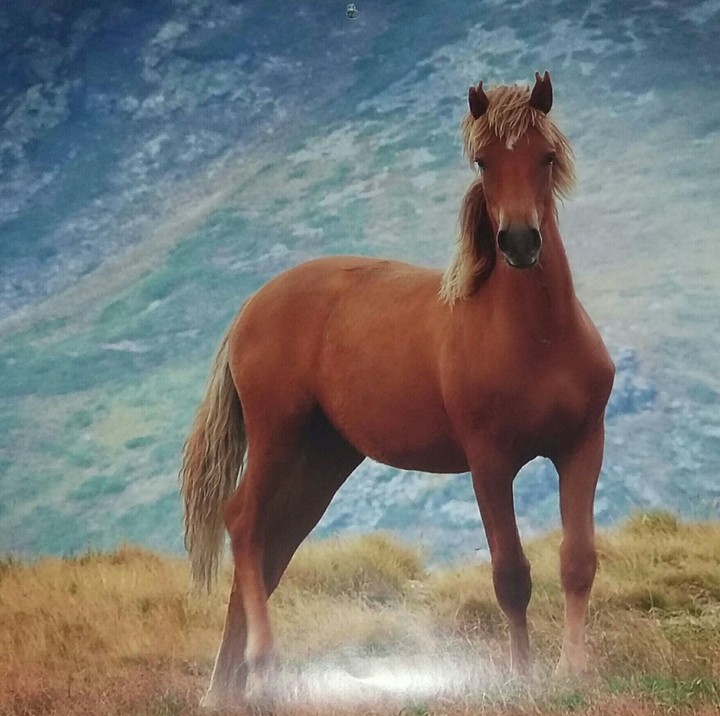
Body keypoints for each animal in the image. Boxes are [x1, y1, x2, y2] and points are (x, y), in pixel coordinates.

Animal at [180, 71, 615, 708]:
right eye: (483, 160)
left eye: (547, 156)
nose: (518, 242)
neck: (537, 340)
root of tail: (252, 307)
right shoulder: (489, 463)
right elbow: (511, 574)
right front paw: (521, 675)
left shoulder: (582, 447)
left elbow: (577, 561)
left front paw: (572, 671)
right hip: (277, 437)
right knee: (244, 524)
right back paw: (260, 667)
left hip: (323, 459)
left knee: (272, 547)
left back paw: (225, 689)